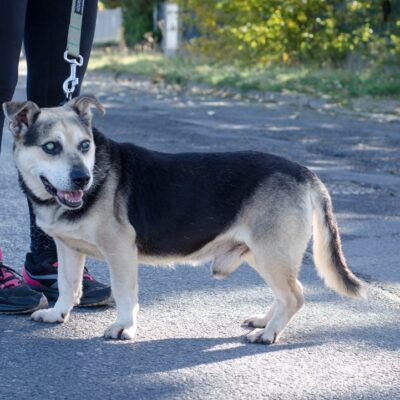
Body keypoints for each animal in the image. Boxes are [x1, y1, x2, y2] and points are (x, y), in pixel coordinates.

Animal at [1, 96, 364, 344]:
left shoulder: (121, 252)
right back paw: (265, 322)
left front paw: (124, 327)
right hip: (262, 254)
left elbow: (124, 293)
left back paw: (268, 334)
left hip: (271, 253)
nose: (82, 179)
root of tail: (304, 172)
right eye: (51, 147)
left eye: (85, 145)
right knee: (288, 292)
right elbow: (67, 285)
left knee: (295, 295)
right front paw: (58, 314)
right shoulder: (68, 248)